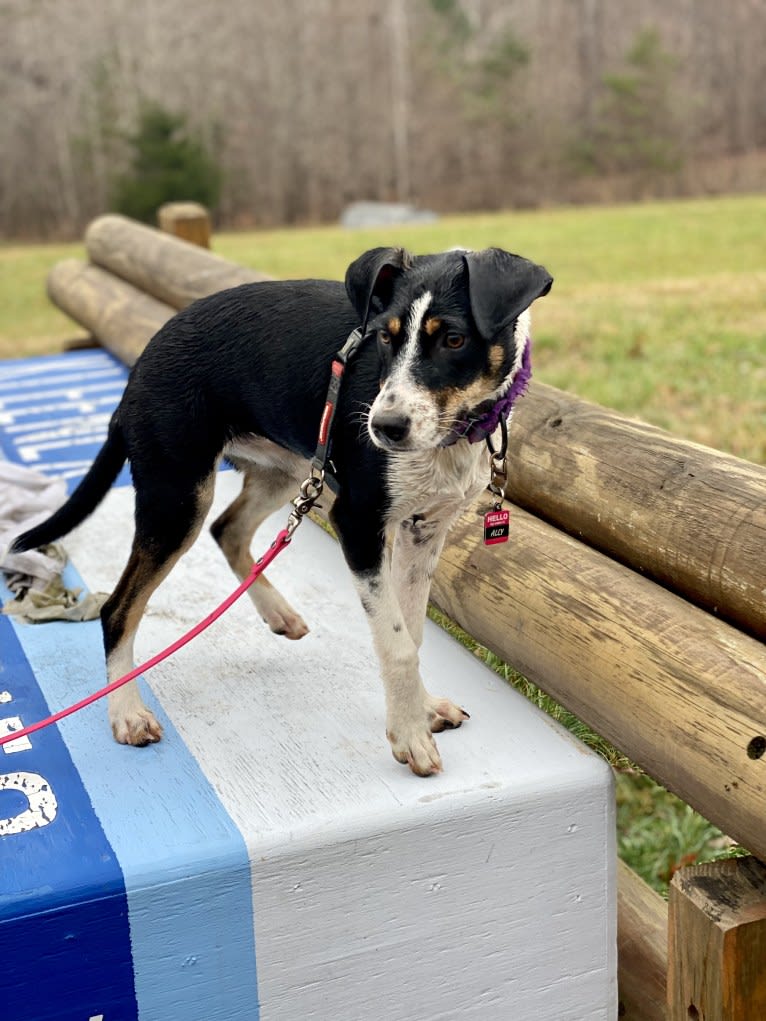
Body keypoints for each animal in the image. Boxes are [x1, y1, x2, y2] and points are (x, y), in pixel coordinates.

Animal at [12, 247, 551, 771]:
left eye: (454, 340)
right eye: (385, 338)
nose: (383, 428)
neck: (455, 434)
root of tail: (141, 364)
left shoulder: (424, 531)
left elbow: (411, 633)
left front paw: (420, 709)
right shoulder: (358, 524)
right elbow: (396, 644)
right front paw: (410, 736)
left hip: (286, 471)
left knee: (228, 529)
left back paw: (277, 612)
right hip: (177, 500)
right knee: (118, 608)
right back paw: (126, 712)